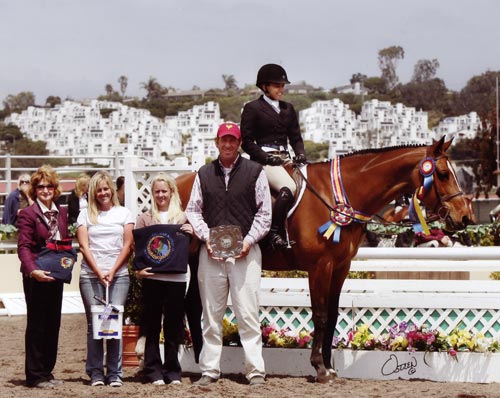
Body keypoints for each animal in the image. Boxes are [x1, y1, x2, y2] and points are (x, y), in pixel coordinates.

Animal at [176, 138, 472, 382]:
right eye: (443, 174)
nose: (465, 217)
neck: (340, 195)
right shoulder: (320, 266)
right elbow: (318, 314)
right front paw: (319, 368)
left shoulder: (341, 266)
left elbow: (332, 315)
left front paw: (330, 367)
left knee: (192, 304)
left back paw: (201, 362)